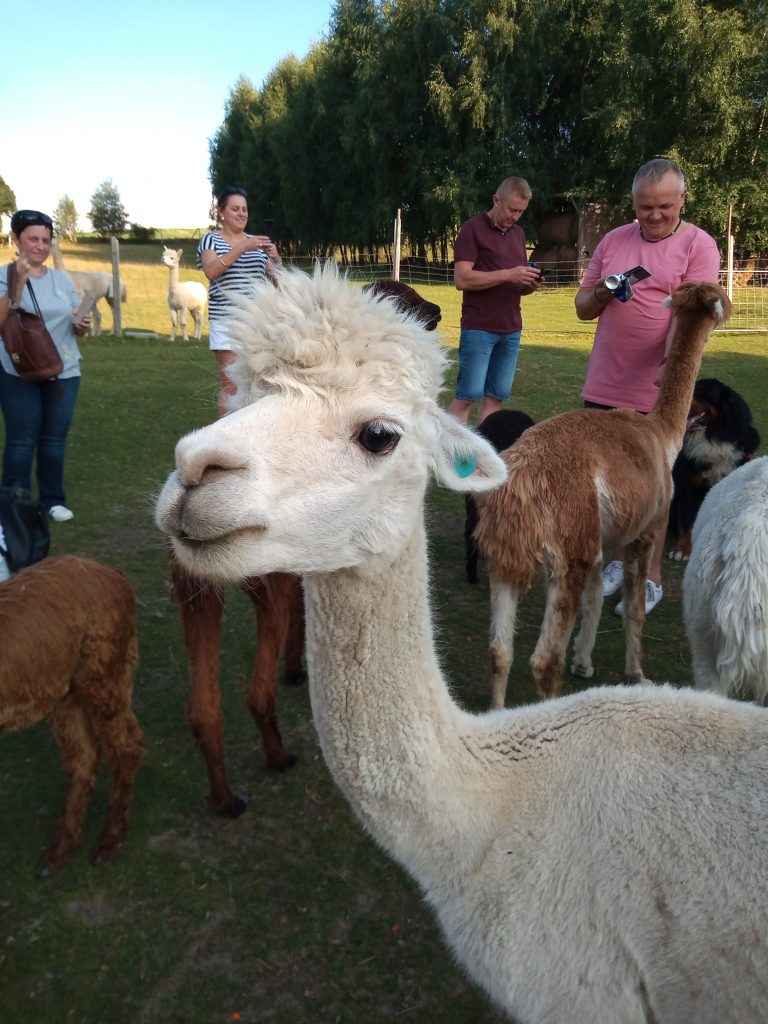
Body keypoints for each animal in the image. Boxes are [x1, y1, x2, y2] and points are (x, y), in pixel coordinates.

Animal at [0, 556, 143, 875]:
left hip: (101, 670)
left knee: (127, 746)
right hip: (63, 689)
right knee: (83, 757)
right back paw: (59, 852)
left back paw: (108, 841)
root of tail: (108, 572)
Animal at [474, 281, 730, 707]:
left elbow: (595, 601)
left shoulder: (600, 540)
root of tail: (522, 477)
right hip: (567, 549)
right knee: (544, 662)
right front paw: (637, 675)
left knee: (499, 651)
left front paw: (584, 662)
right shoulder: (648, 528)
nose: (728, 307)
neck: (662, 435)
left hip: (506, 554)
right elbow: (635, 608)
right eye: (720, 298)